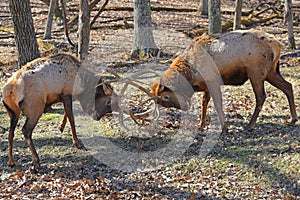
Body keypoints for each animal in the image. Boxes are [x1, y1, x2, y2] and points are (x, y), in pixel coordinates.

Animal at [152, 29, 298, 132]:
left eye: (165, 97)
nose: (185, 106)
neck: (190, 73)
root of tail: (279, 45)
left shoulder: (213, 81)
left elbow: (217, 104)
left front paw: (224, 128)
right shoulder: (207, 85)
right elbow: (204, 103)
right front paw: (201, 124)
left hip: (256, 72)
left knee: (261, 96)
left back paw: (250, 125)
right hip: (271, 72)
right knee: (288, 86)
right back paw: (293, 119)